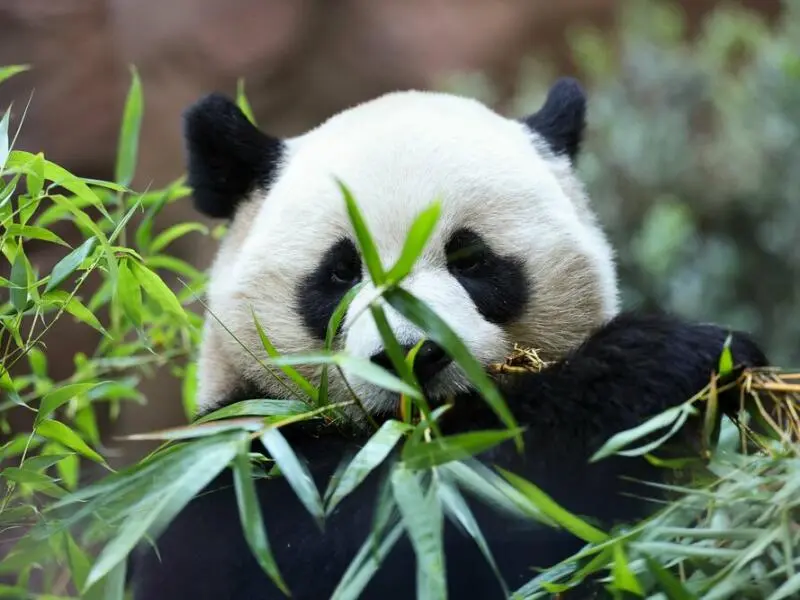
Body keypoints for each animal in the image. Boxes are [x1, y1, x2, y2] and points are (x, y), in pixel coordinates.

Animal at [131, 81, 768, 600]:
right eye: (341, 272)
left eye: (469, 259)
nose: (409, 355)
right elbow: (355, 527)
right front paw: (666, 362)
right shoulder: (226, 462)